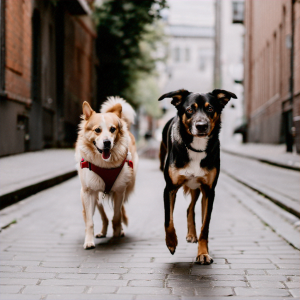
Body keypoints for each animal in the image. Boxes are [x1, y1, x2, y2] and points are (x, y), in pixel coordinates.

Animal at [76, 98, 139, 248]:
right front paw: (89, 241)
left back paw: (119, 231)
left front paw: (116, 234)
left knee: (118, 213)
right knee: (103, 216)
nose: (107, 143)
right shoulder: (88, 192)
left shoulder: (120, 191)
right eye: (97, 130)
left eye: (112, 129)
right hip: (96, 195)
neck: (104, 164)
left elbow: (116, 216)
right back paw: (102, 232)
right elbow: (89, 222)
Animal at [159, 88, 237, 264]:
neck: (196, 148)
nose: (201, 126)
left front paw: (203, 253)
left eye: (210, 109)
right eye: (189, 110)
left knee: (191, 209)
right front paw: (171, 242)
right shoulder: (169, 189)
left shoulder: (209, 190)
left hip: (198, 188)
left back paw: (192, 235)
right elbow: (168, 219)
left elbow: (205, 226)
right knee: (188, 209)